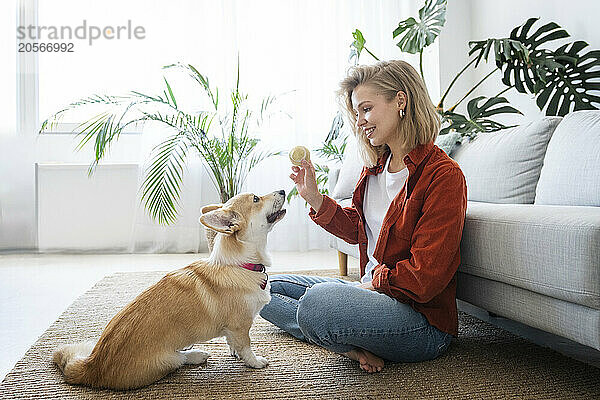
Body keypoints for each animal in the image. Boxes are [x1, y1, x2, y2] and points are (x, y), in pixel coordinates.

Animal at [52, 191, 288, 390]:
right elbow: (246, 346)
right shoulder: (240, 326)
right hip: (168, 360)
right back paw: (197, 355)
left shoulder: (233, 329)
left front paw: (234, 352)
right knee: (180, 359)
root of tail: (92, 366)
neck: (240, 264)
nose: (283, 190)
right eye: (256, 198)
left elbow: (233, 343)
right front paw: (255, 362)